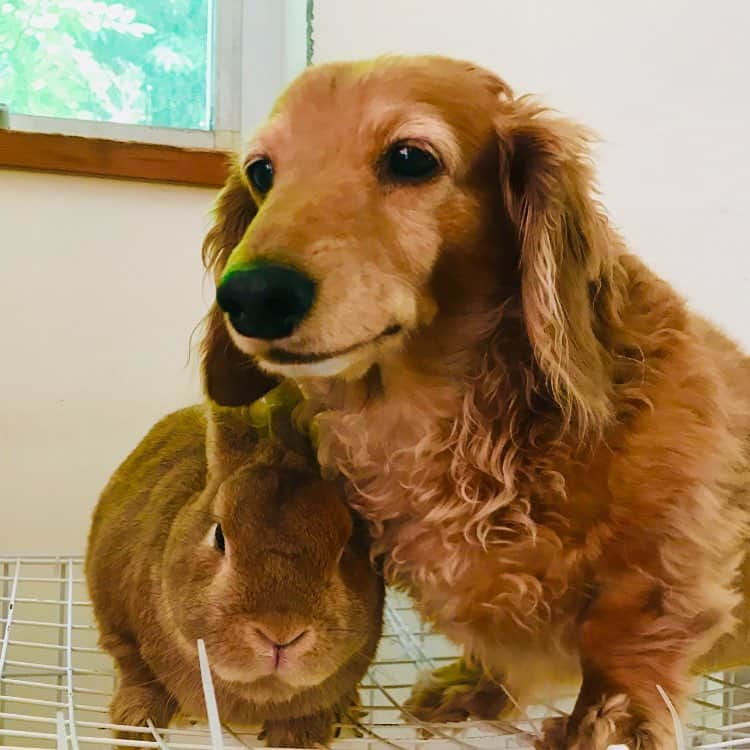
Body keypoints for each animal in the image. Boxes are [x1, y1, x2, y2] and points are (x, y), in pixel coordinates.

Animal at [85, 396, 384, 748]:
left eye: (347, 545)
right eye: (219, 536)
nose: (280, 632)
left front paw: (300, 737)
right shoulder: (119, 627)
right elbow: (139, 673)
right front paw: (133, 727)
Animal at [198, 55, 750, 748]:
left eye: (411, 158)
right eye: (262, 172)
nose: (250, 295)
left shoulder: (660, 576)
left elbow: (619, 655)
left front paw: (596, 725)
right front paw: (478, 689)